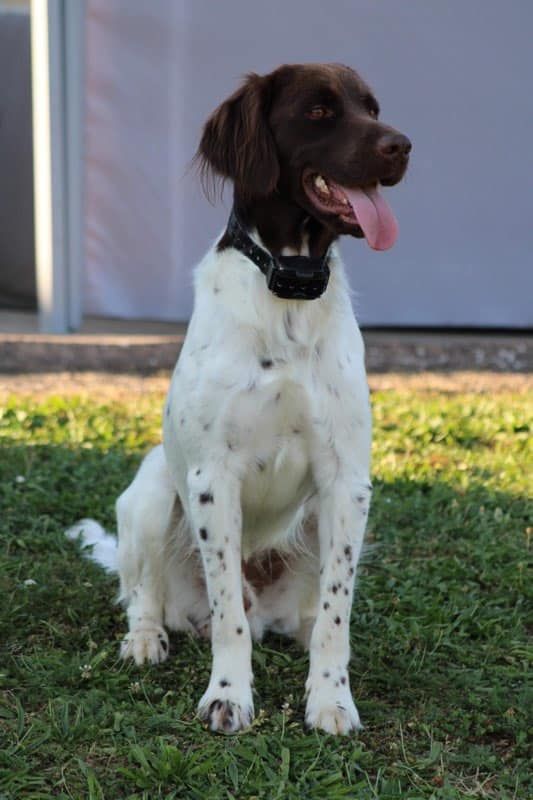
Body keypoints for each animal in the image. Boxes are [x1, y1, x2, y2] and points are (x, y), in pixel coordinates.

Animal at [68, 64, 410, 736]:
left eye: (373, 108)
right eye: (320, 110)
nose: (402, 146)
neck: (290, 291)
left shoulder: (347, 482)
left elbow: (337, 615)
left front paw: (331, 699)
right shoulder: (210, 479)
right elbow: (226, 613)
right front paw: (227, 694)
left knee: (311, 614)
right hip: (151, 495)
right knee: (146, 596)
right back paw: (145, 640)